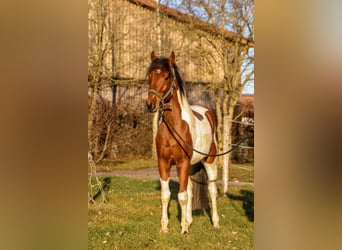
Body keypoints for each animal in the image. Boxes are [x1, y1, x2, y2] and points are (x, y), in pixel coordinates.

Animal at [145, 51, 219, 234]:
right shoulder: (163, 163)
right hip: (192, 165)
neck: (174, 127)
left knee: (212, 191)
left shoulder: (182, 163)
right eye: (150, 76)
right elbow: (166, 195)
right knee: (191, 189)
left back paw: (215, 222)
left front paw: (184, 229)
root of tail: (208, 113)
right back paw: (190, 220)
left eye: (166, 77)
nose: (150, 104)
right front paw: (165, 227)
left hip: (209, 161)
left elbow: (182, 196)